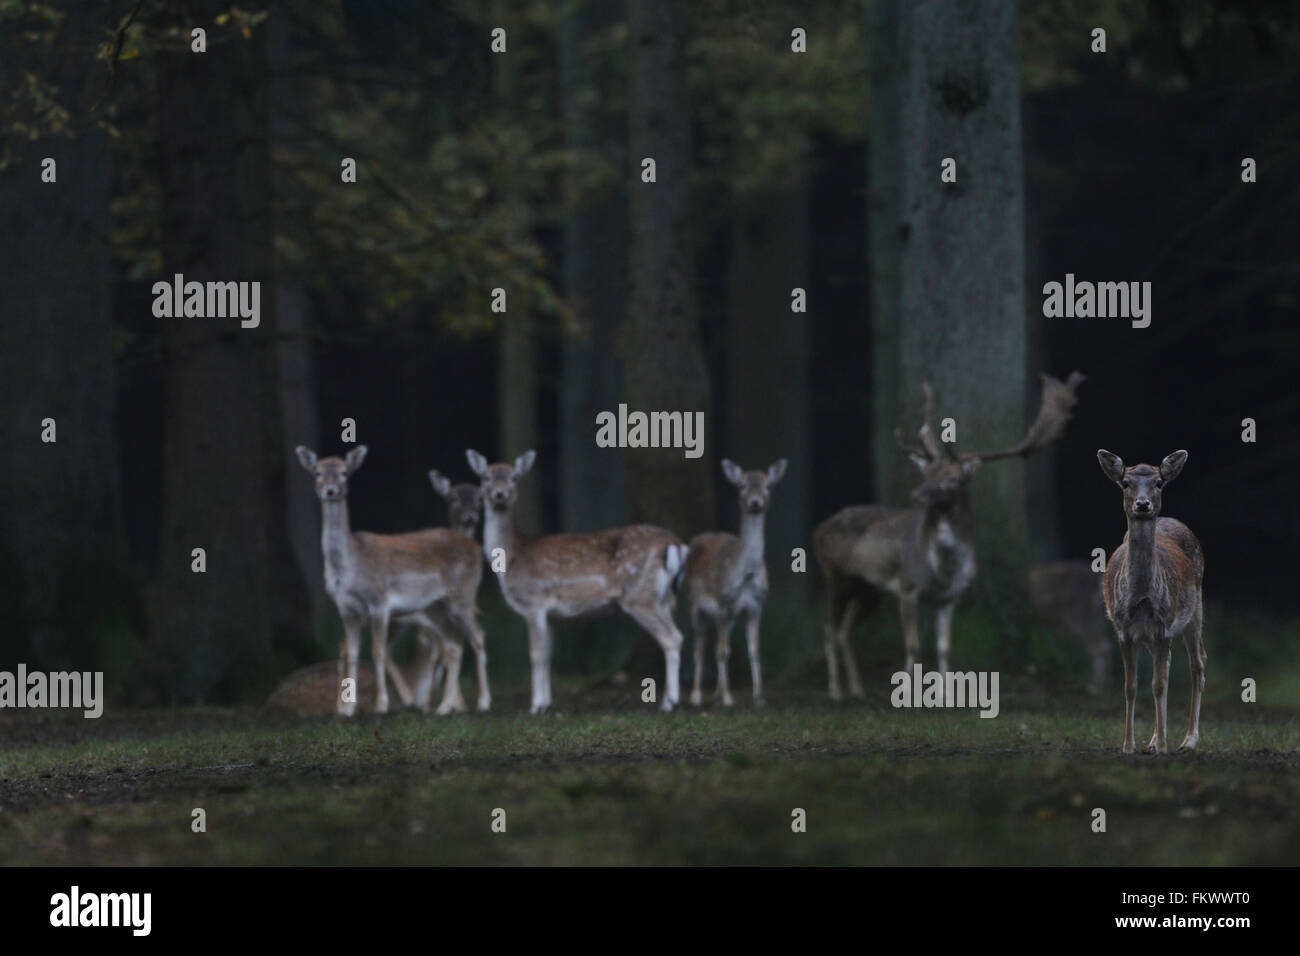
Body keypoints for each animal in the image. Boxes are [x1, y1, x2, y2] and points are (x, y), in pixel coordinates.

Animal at [295, 447, 491, 717]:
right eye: (317, 472)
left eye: (344, 472)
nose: (330, 490)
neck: (350, 567)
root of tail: (475, 547)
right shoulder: (346, 609)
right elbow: (352, 652)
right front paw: (348, 710)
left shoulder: (379, 602)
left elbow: (377, 651)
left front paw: (381, 705)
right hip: (435, 608)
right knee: (453, 645)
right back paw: (444, 707)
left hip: (462, 596)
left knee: (478, 637)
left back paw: (482, 703)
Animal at [467, 452, 691, 712]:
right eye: (485, 477)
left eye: (514, 477)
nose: (500, 494)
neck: (513, 557)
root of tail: (676, 544)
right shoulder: (551, 616)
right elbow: (548, 655)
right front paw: (546, 703)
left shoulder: (534, 602)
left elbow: (535, 655)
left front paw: (535, 706)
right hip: (661, 597)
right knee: (676, 634)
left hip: (639, 596)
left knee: (672, 638)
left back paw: (669, 702)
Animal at [676, 455, 785, 712]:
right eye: (742, 485)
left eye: (768, 485)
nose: (755, 502)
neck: (745, 574)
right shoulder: (723, 603)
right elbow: (721, 652)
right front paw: (727, 698)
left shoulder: (756, 606)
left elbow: (753, 650)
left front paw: (759, 698)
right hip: (694, 605)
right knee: (700, 646)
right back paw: (697, 696)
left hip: (728, 616)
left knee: (718, 645)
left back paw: (716, 694)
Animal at [816, 369, 1081, 697]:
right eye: (926, 474)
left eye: (952, 478)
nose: (917, 495)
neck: (942, 570)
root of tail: (819, 528)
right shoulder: (907, 586)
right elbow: (913, 646)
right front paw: (907, 693)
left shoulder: (950, 597)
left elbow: (943, 647)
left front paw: (944, 695)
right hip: (835, 575)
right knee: (828, 628)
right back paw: (835, 691)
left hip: (866, 588)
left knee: (843, 630)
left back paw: (856, 689)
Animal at [1097, 447, 1206, 754]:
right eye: (1125, 483)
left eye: (1159, 482)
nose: (1143, 504)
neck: (1142, 597)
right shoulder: (1123, 629)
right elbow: (1131, 686)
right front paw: (1128, 746)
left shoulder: (1165, 624)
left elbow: (1158, 685)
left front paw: (1165, 747)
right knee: (1167, 665)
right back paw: (1155, 739)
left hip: (1195, 606)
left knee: (1197, 663)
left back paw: (1187, 740)